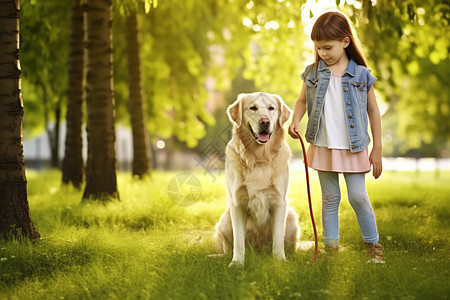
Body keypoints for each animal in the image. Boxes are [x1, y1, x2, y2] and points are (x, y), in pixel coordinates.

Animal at [214, 92, 298, 268]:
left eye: (272, 108)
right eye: (252, 108)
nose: (265, 122)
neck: (259, 157)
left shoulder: (279, 202)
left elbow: (278, 239)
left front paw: (279, 261)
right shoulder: (237, 203)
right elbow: (239, 241)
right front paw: (237, 263)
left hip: (291, 217)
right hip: (225, 220)